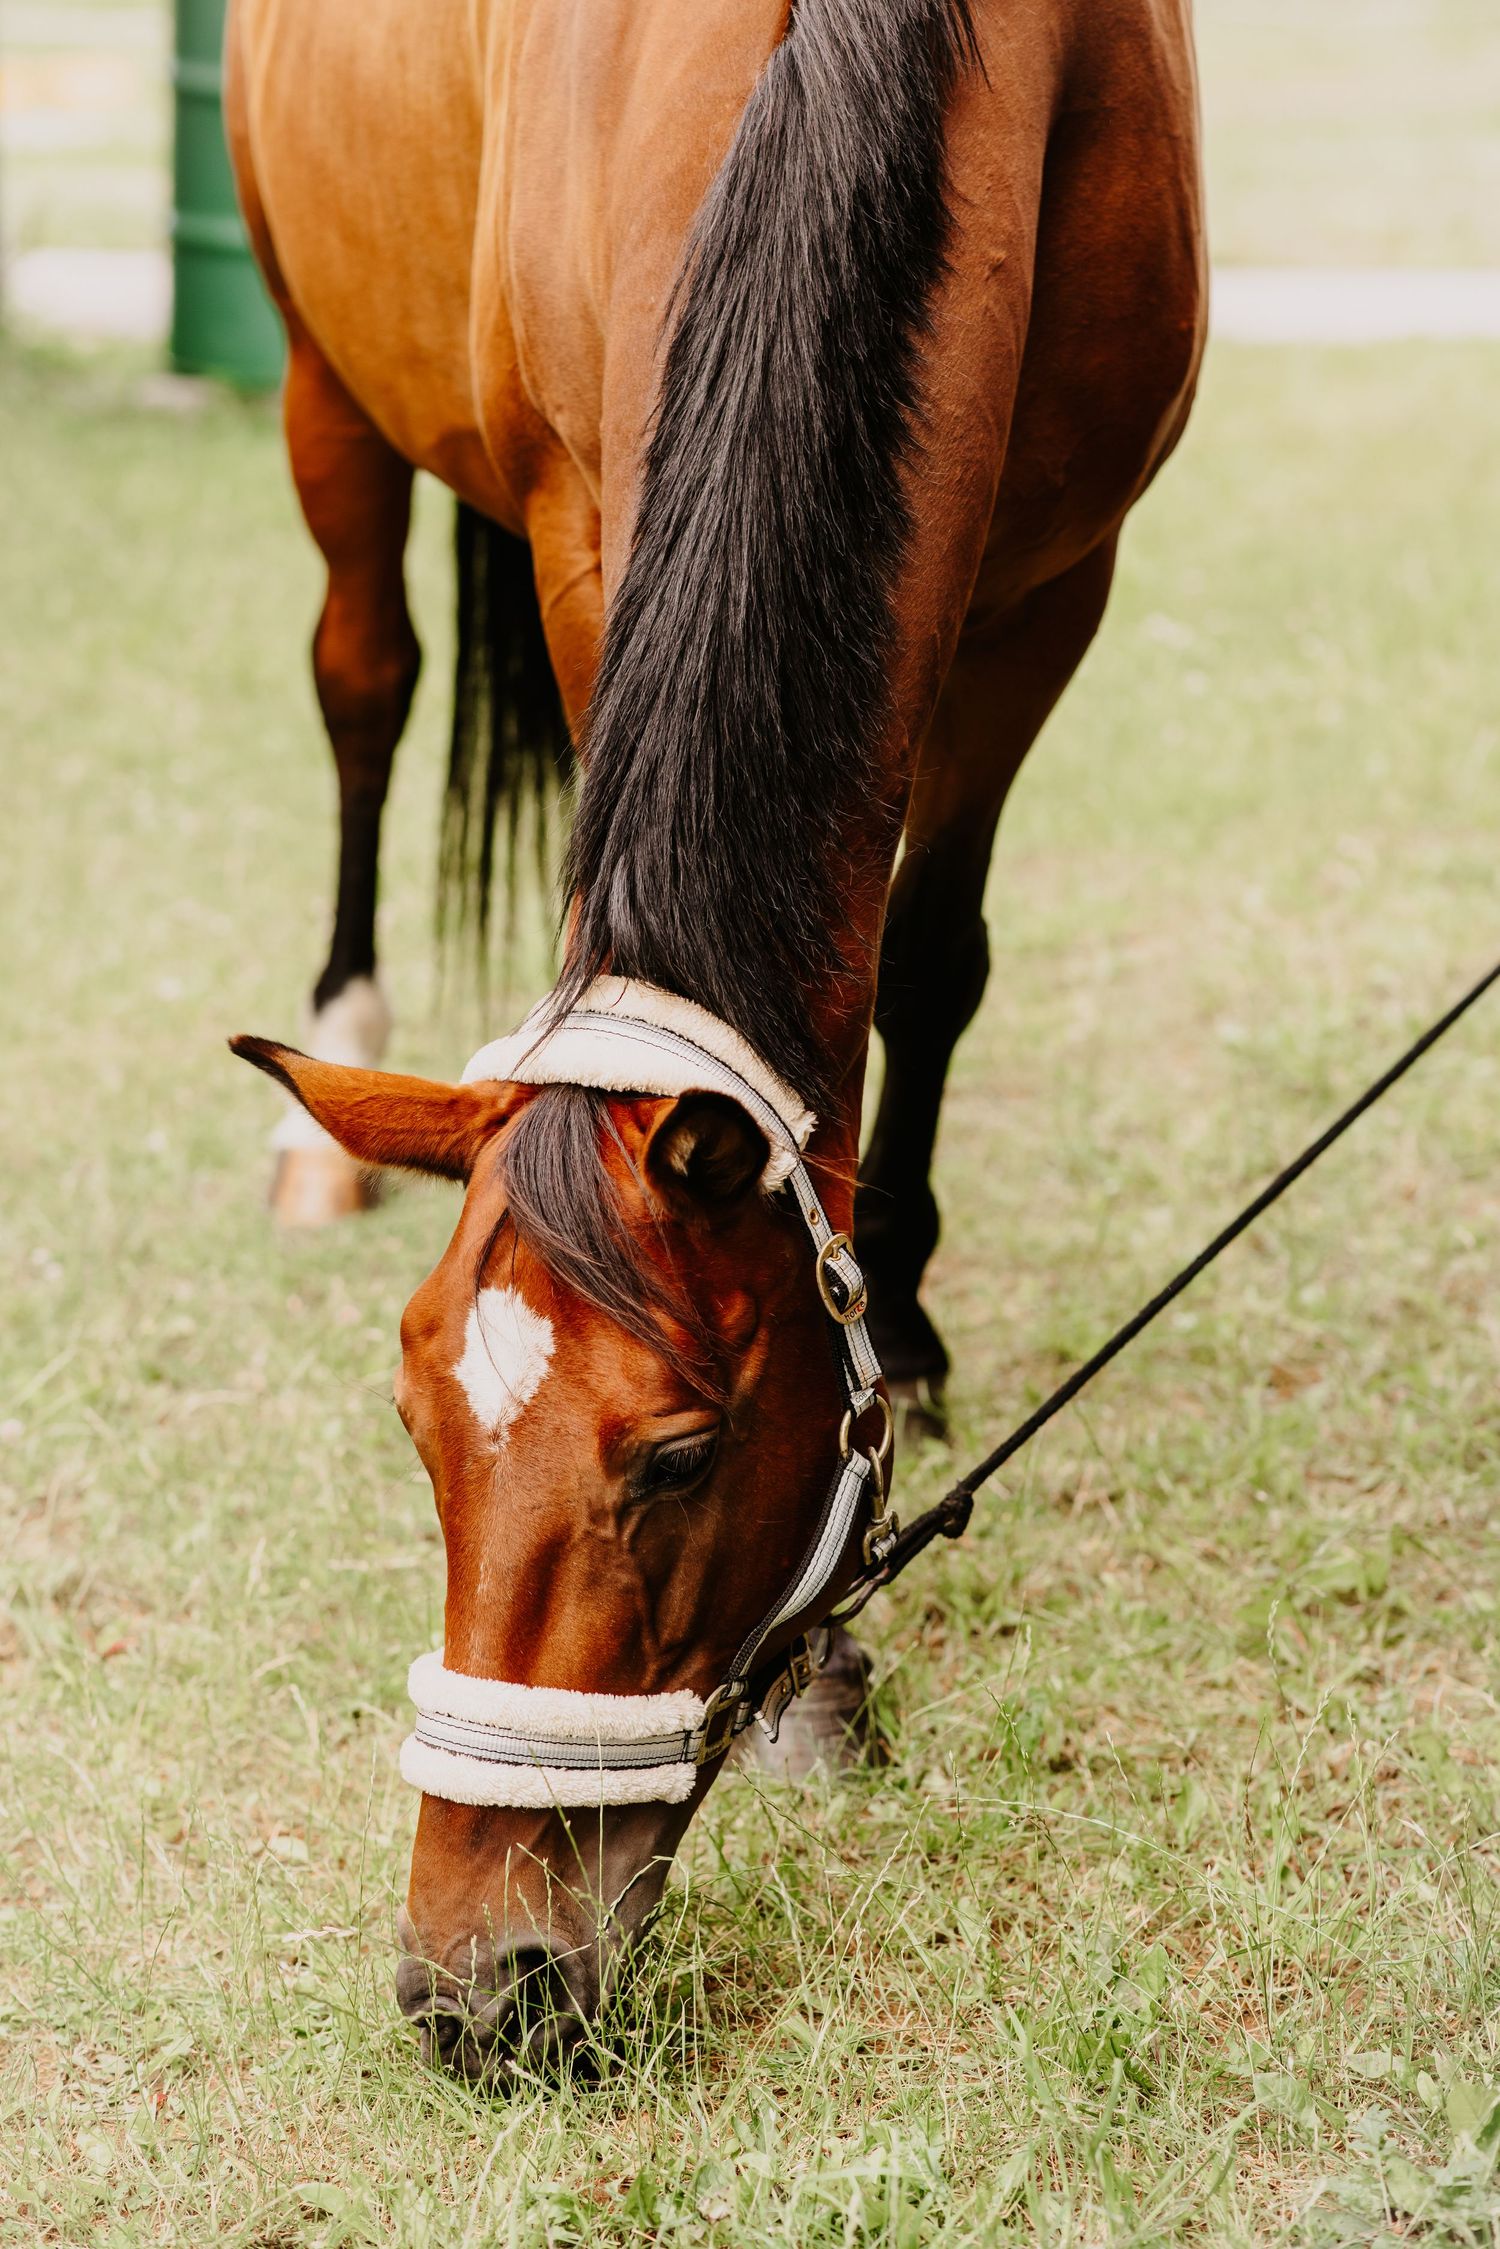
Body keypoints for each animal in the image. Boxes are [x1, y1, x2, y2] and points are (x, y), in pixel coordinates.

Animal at [226, 0, 1204, 2074]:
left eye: (680, 1455)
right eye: (412, 1424)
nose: (476, 1986)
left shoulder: (1048, 587)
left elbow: (925, 961)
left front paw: (894, 1336)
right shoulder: (588, 525)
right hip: (316, 368)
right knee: (365, 675)